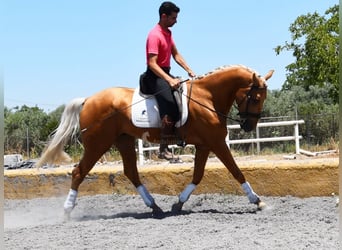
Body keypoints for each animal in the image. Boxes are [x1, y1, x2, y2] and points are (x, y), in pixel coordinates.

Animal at [36, 65, 274, 218]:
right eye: (255, 97)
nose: (248, 126)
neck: (207, 97)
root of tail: (87, 100)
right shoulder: (216, 143)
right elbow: (236, 171)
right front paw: (258, 201)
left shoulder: (205, 145)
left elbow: (198, 176)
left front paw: (179, 203)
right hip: (98, 144)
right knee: (79, 172)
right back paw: (67, 210)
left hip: (123, 141)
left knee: (131, 172)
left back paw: (155, 206)